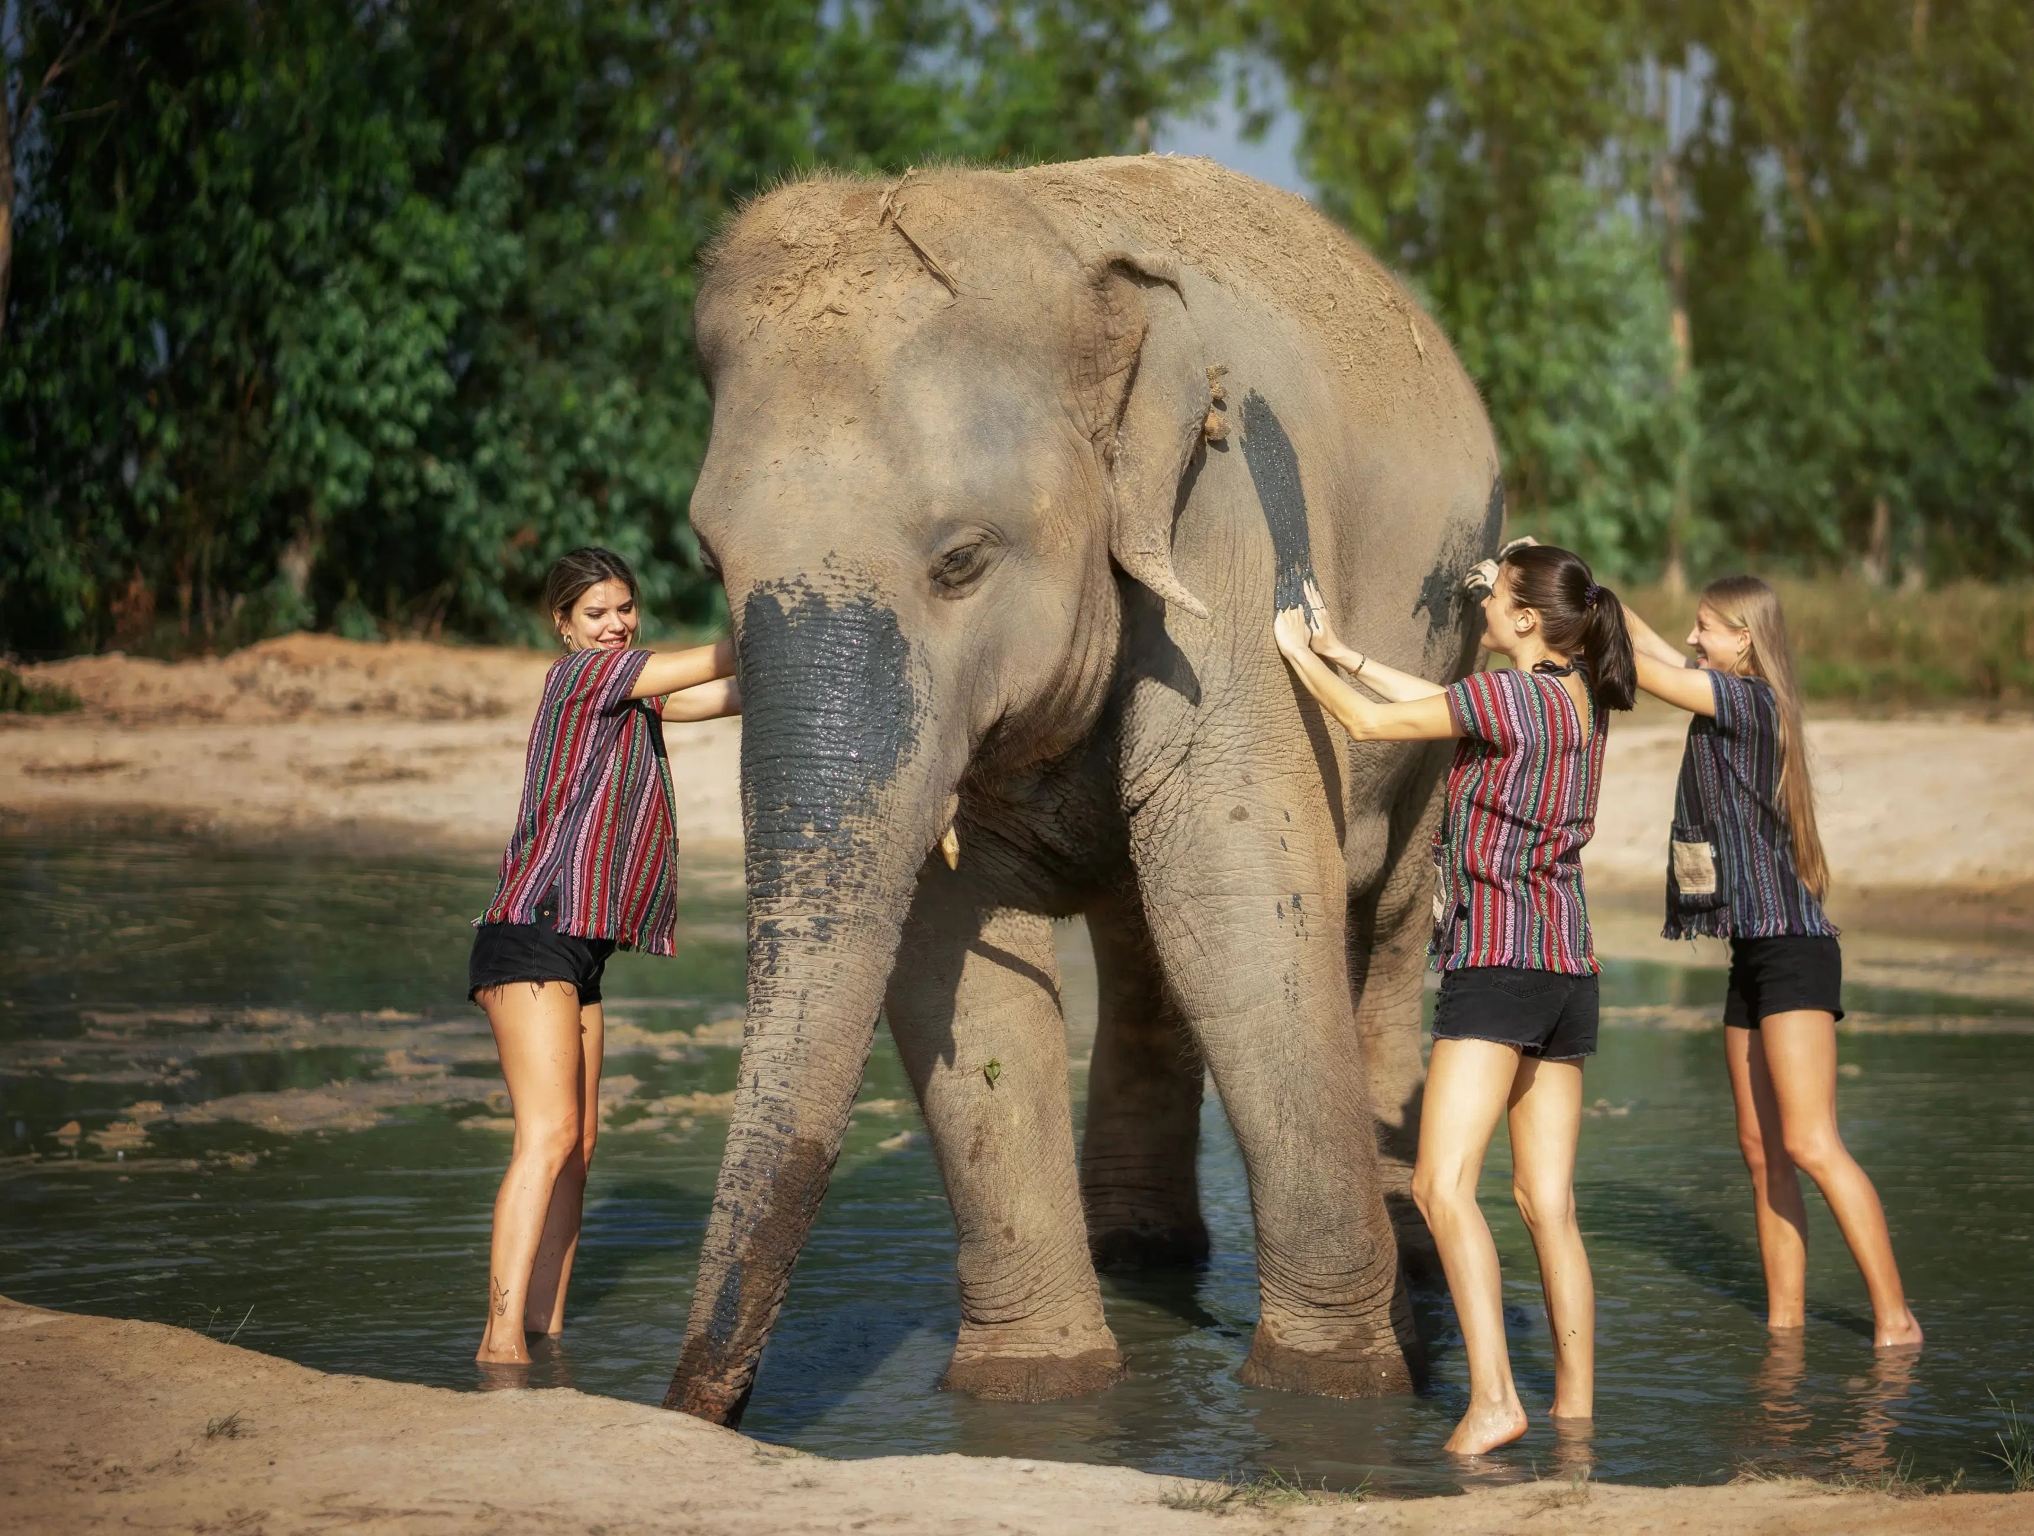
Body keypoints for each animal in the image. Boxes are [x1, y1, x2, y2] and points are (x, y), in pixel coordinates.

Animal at [663, 155, 1502, 1426]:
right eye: (713, 562)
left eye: (963, 560)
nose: (694, 1402)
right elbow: (952, 955)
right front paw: (1038, 1388)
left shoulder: (1226, 525)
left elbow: (1241, 910)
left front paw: (1332, 1395)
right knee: (1143, 940)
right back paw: (1141, 1253)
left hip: (1441, 675)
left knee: (1387, 918)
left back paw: (1407, 1262)